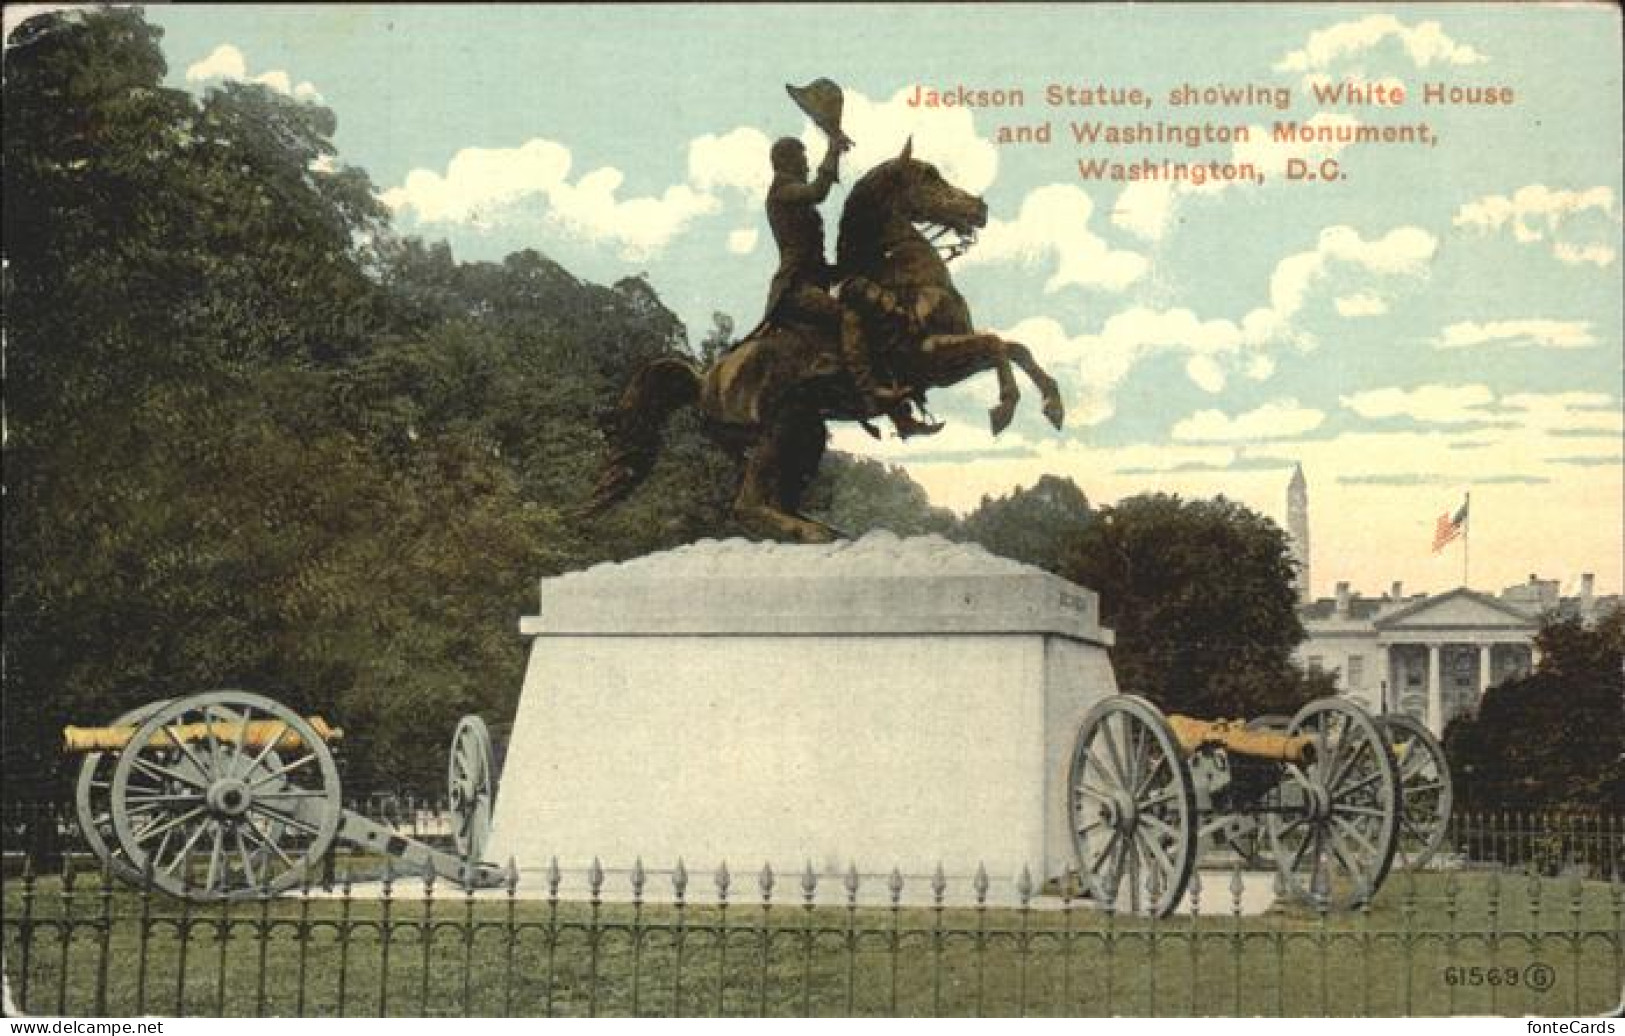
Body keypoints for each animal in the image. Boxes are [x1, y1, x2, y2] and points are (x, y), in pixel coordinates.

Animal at [585, 139, 1066, 545]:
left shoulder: (944, 362)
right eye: (929, 176)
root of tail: (705, 380)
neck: (905, 275)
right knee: (748, 504)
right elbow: (997, 345)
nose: (979, 208)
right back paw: (813, 532)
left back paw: (822, 529)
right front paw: (1004, 409)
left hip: (805, 428)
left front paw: (1053, 407)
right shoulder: (927, 360)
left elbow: (1015, 347)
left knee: (777, 495)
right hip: (778, 429)